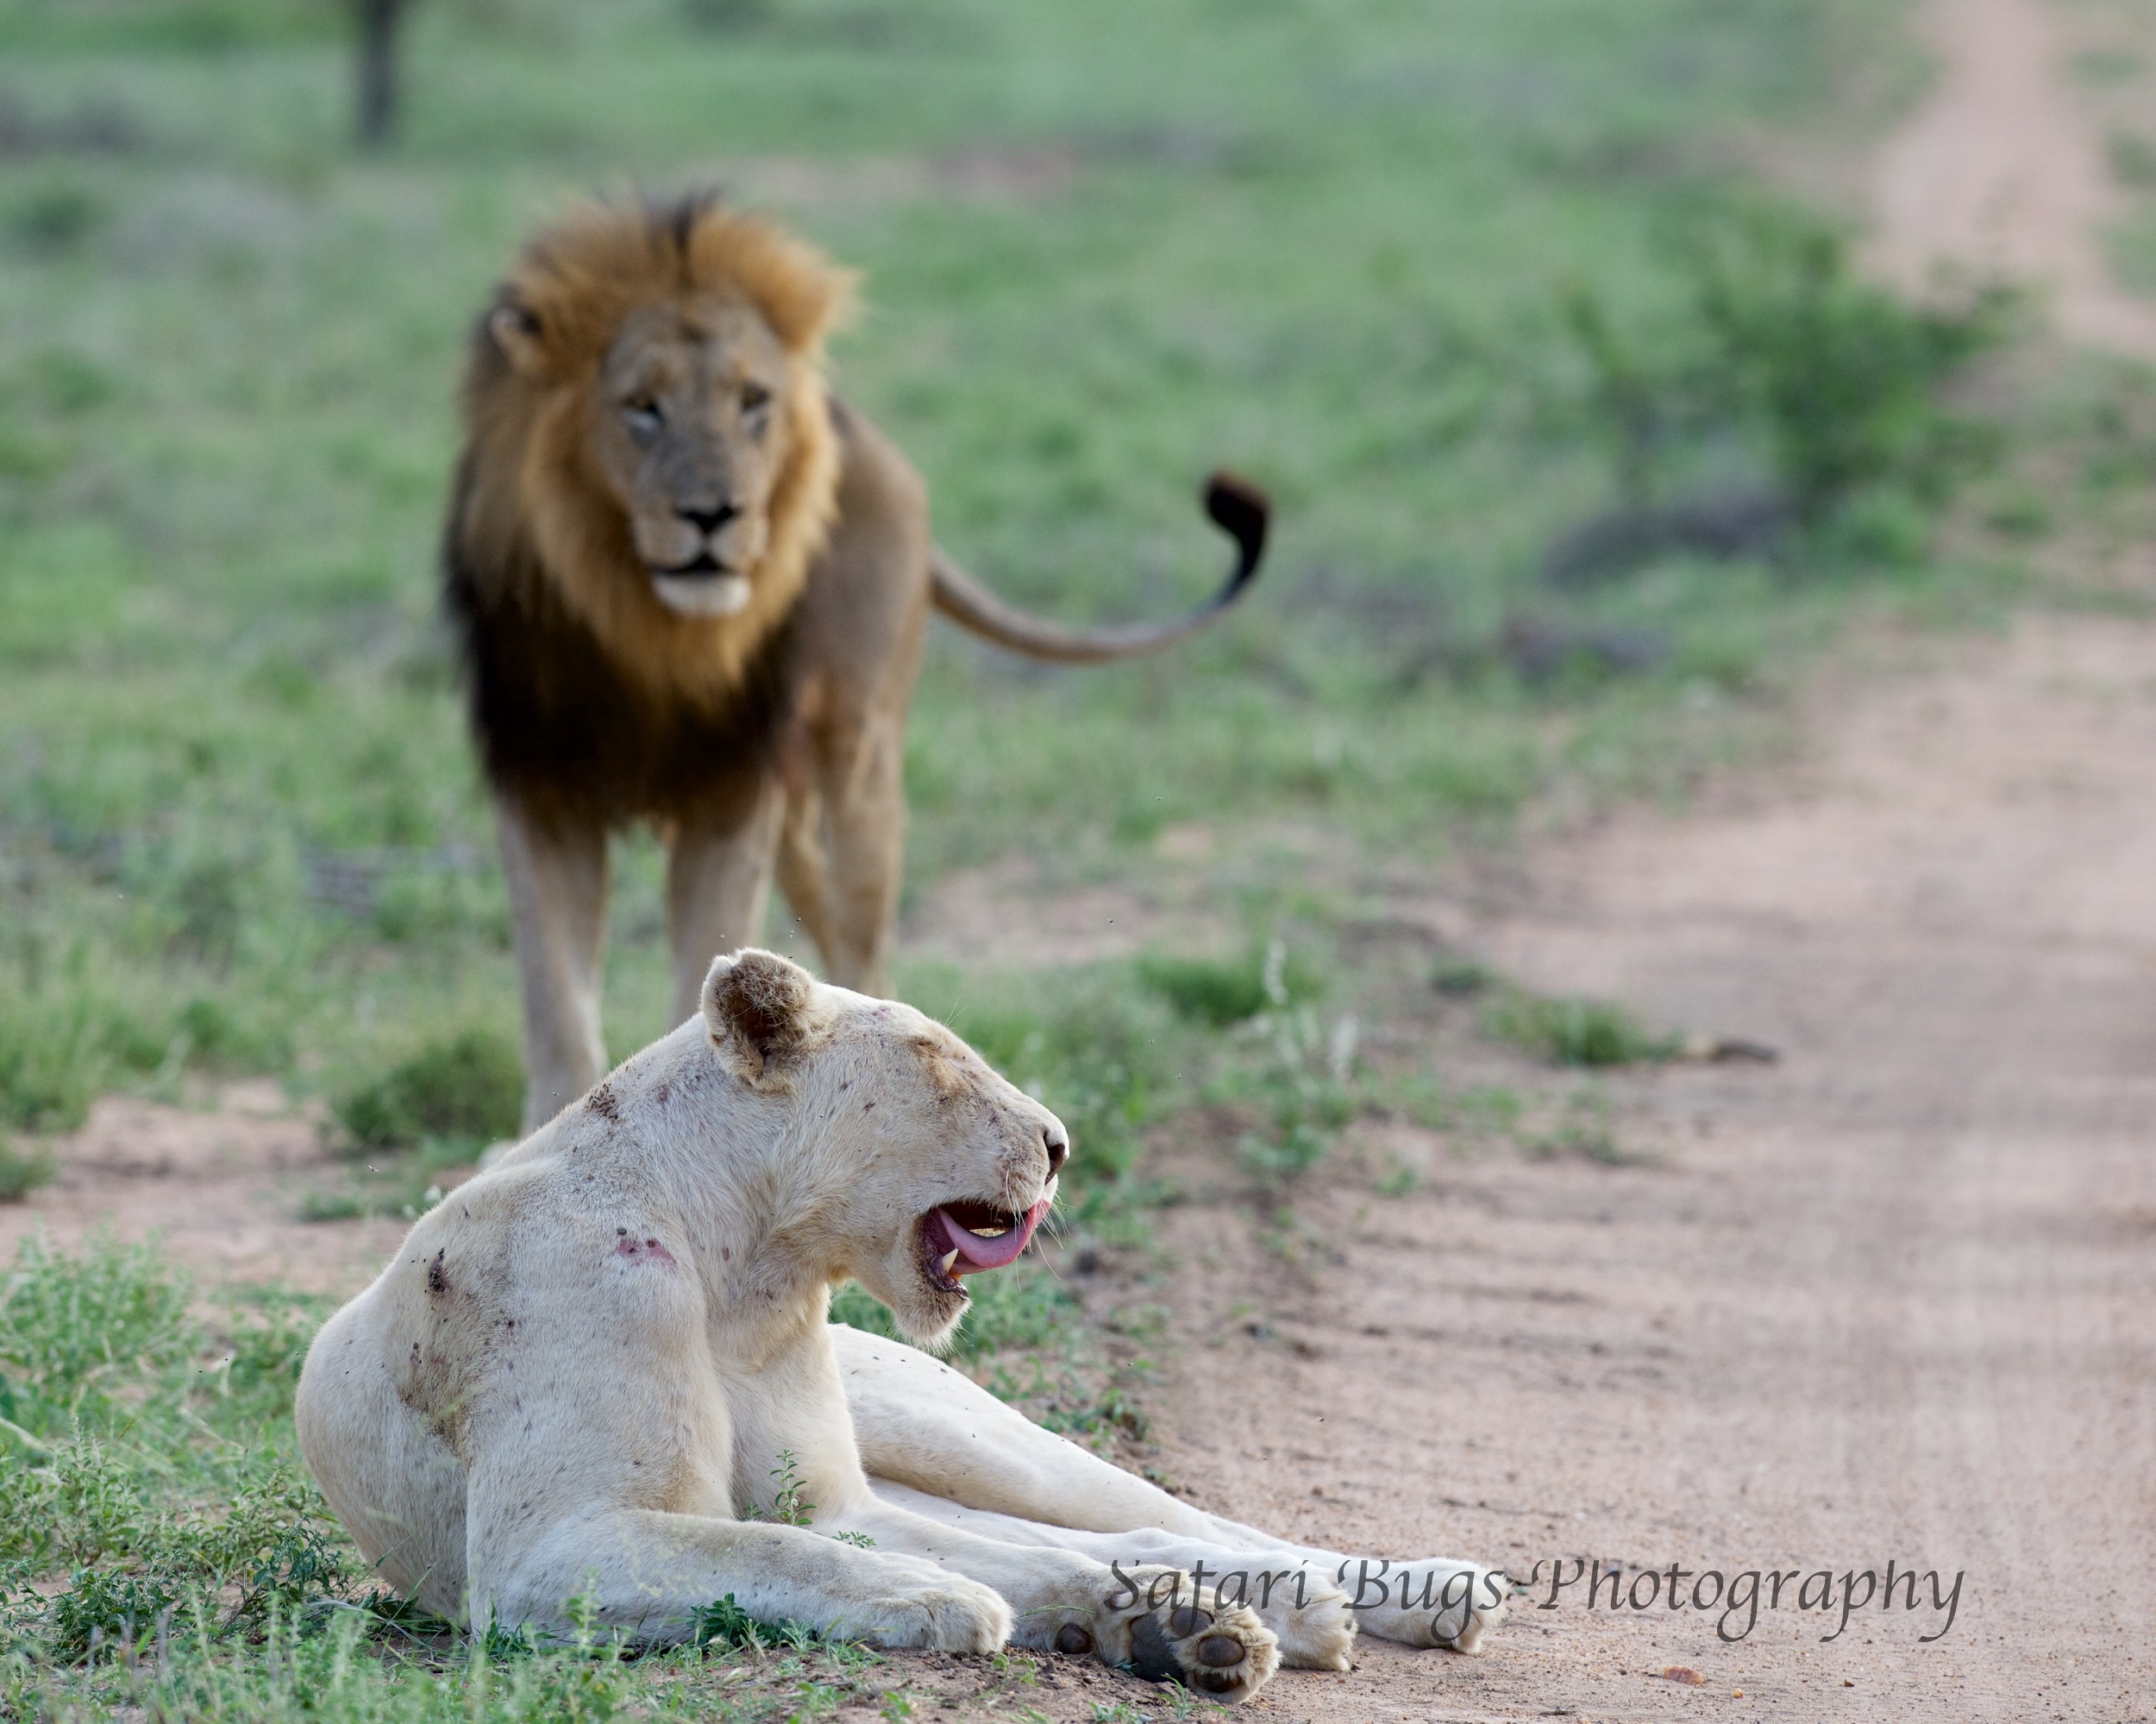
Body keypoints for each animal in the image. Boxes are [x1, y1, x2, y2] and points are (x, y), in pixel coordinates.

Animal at [295, 956, 1509, 1698]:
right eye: (937, 1062)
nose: (1060, 1144)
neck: (748, 1269)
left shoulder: (829, 1494)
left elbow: (850, 1542)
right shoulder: (548, 1545)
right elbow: (789, 1548)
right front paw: (961, 1601)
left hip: (959, 1426)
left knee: (1165, 1515)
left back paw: (1423, 1590)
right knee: (1120, 1534)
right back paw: (1251, 1618)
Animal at [446, 195, 1268, 1129]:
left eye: (752, 402)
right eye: (641, 406)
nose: (713, 514)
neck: (649, 629)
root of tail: (866, 436)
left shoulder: (733, 786)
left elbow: (703, 953)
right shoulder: (539, 779)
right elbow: (553, 990)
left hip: (860, 762)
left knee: (868, 944)